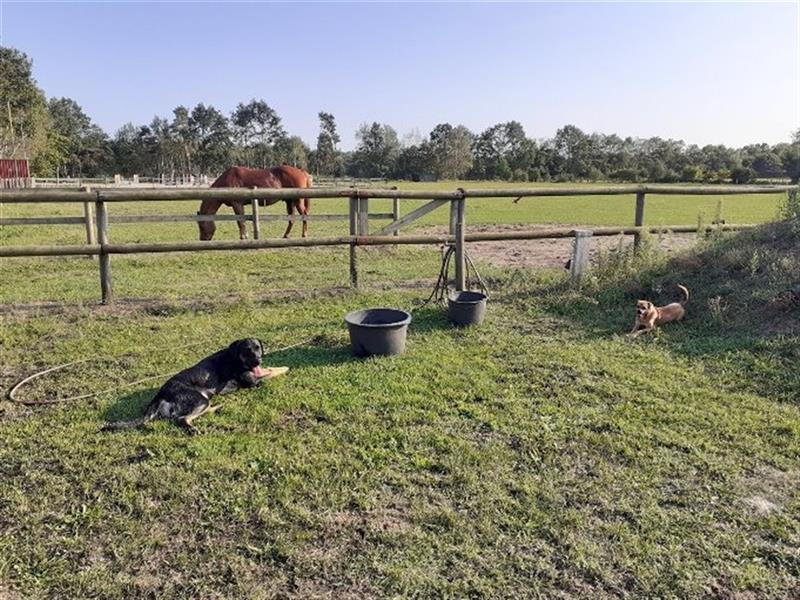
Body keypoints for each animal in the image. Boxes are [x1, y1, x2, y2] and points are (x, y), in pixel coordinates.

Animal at [104, 338, 268, 436]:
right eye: (247, 350)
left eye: (258, 348)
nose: (258, 361)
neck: (235, 358)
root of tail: (161, 395)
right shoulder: (253, 382)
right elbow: (266, 377)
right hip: (200, 400)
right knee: (182, 419)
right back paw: (193, 428)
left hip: (202, 401)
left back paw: (218, 407)